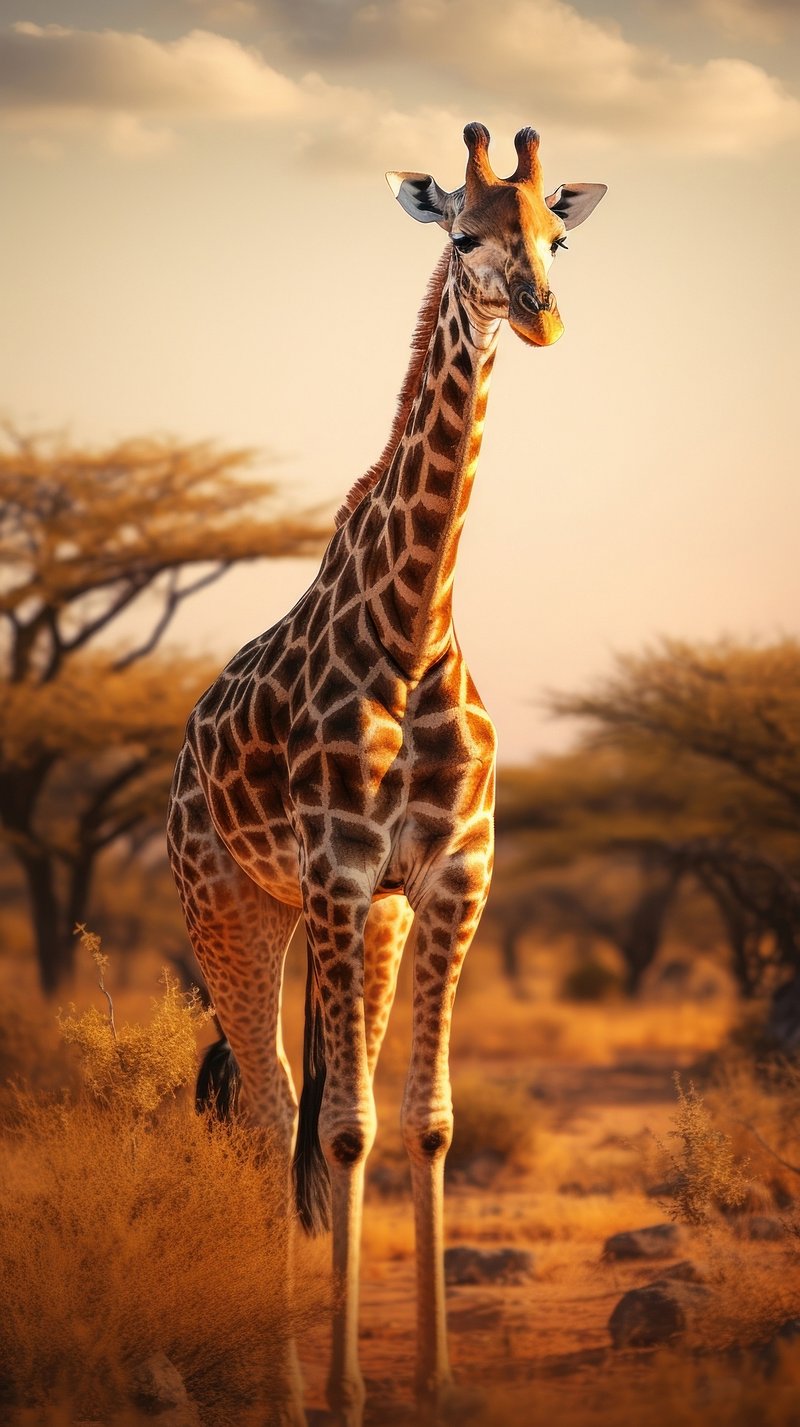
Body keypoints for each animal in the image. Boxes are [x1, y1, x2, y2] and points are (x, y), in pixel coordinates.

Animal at [167, 122, 605, 1426]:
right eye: (461, 235)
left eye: (556, 236)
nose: (539, 312)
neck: (413, 631)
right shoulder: (340, 871)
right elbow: (345, 1129)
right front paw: (347, 1386)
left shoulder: (451, 875)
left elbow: (424, 1121)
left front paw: (438, 1374)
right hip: (234, 904)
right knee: (270, 1113)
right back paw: (282, 1377)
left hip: (367, 919)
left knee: (312, 1107)